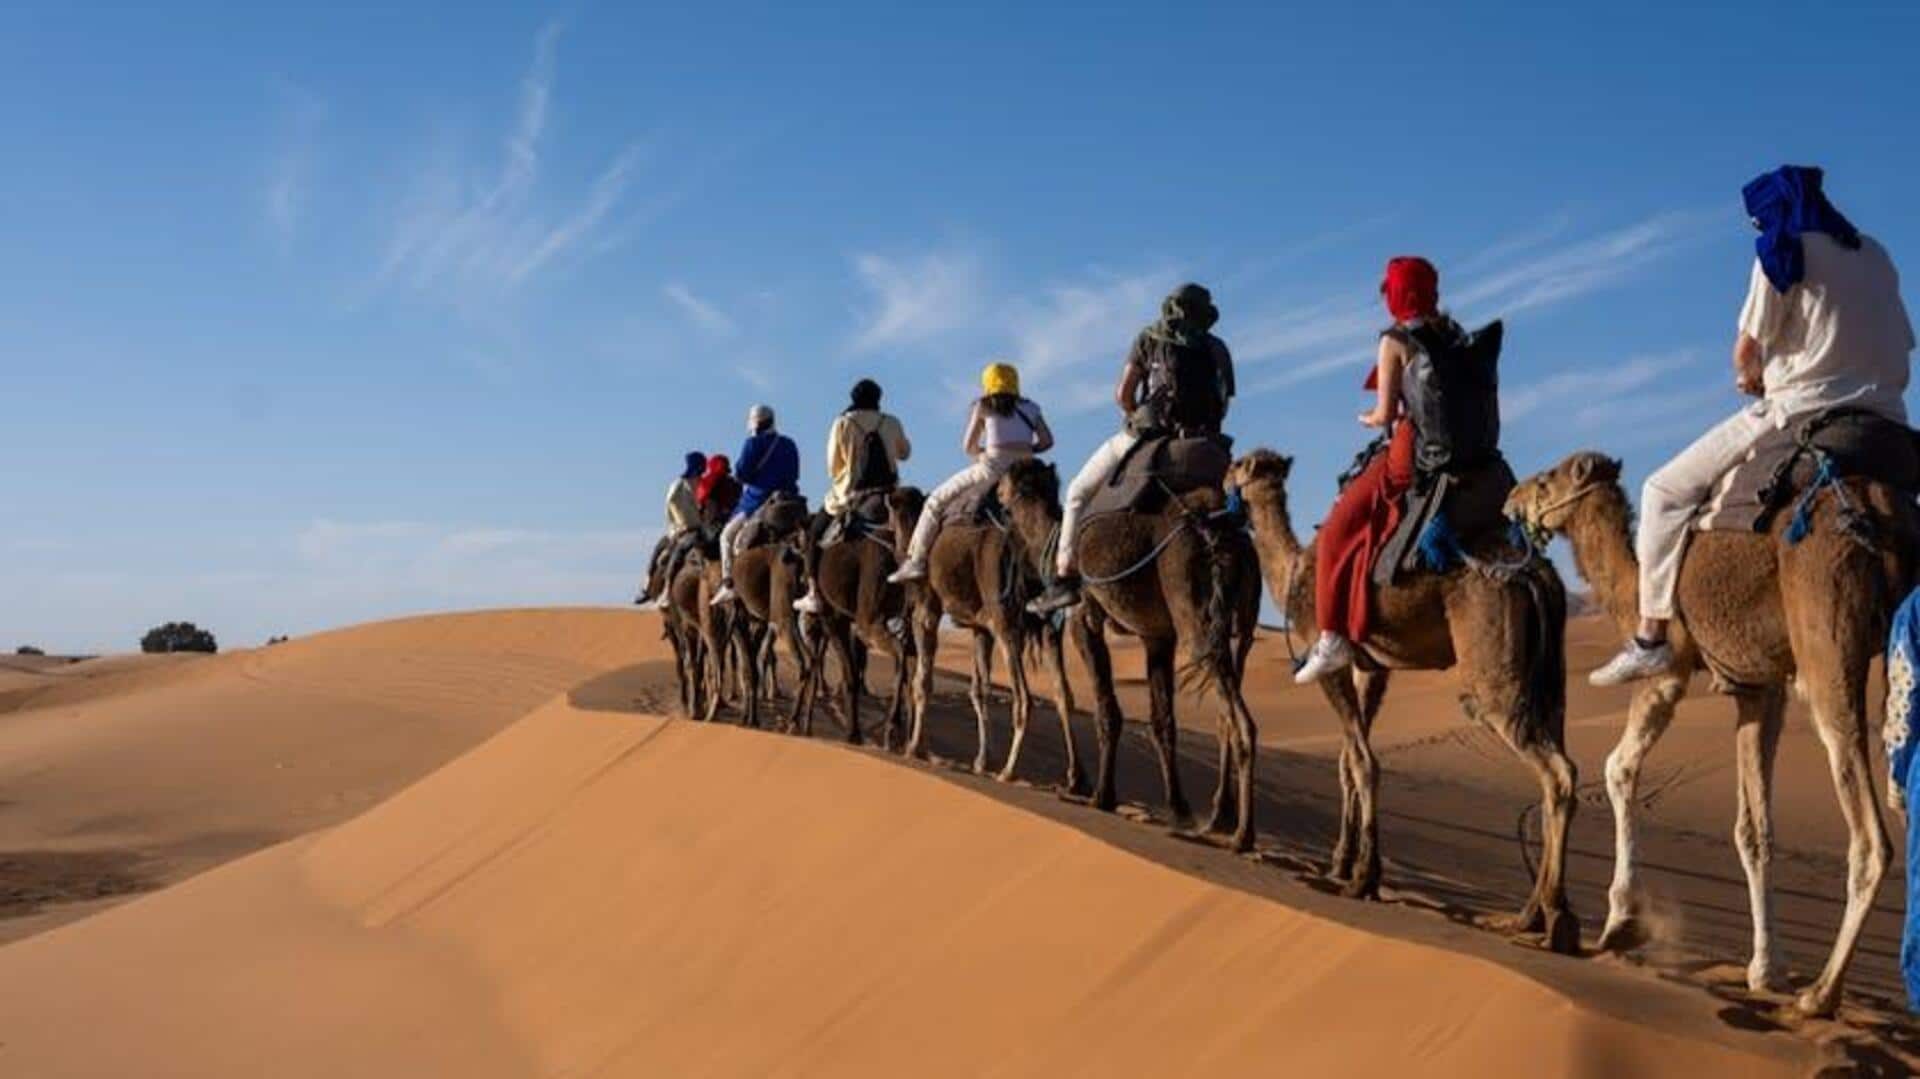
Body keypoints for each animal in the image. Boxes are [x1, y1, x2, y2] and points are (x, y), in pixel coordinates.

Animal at [883, 483, 1082, 787]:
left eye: (889, 515)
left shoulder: (928, 611)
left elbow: (922, 681)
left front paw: (915, 748)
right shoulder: (980, 629)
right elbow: (979, 691)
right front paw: (981, 761)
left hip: (1006, 623)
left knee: (1024, 698)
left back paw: (1009, 771)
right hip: (1048, 623)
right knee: (1062, 693)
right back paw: (1074, 776)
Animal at [990, 456, 1259, 844]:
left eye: (1008, 478)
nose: (996, 490)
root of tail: (1221, 535)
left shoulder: (1084, 617)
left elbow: (1107, 710)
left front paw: (1102, 796)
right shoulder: (1157, 636)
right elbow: (1162, 721)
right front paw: (1178, 808)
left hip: (1194, 609)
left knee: (1238, 718)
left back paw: (1241, 834)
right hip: (1242, 628)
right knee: (1231, 702)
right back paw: (1225, 821)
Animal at [1221, 445, 1582, 948]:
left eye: (1236, 465)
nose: (1221, 478)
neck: (1293, 574)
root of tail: (1536, 575)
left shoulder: (1329, 656)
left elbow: (1363, 761)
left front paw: (1362, 876)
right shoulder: (1372, 667)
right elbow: (1348, 761)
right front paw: (1342, 861)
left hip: (1495, 672)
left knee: (1557, 772)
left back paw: (1553, 918)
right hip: (1550, 679)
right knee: (1558, 763)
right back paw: (1534, 914)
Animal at [1505, 449, 1912, 1013]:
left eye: (1546, 481)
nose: (1511, 501)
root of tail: (1880, 510)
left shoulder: (1669, 668)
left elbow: (1618, 767)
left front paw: (1621, 921)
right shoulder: (1758, 687)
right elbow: (1754, 829)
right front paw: (1766, 968)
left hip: (1829, 650)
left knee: (1872, 839)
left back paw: (1821, 993)